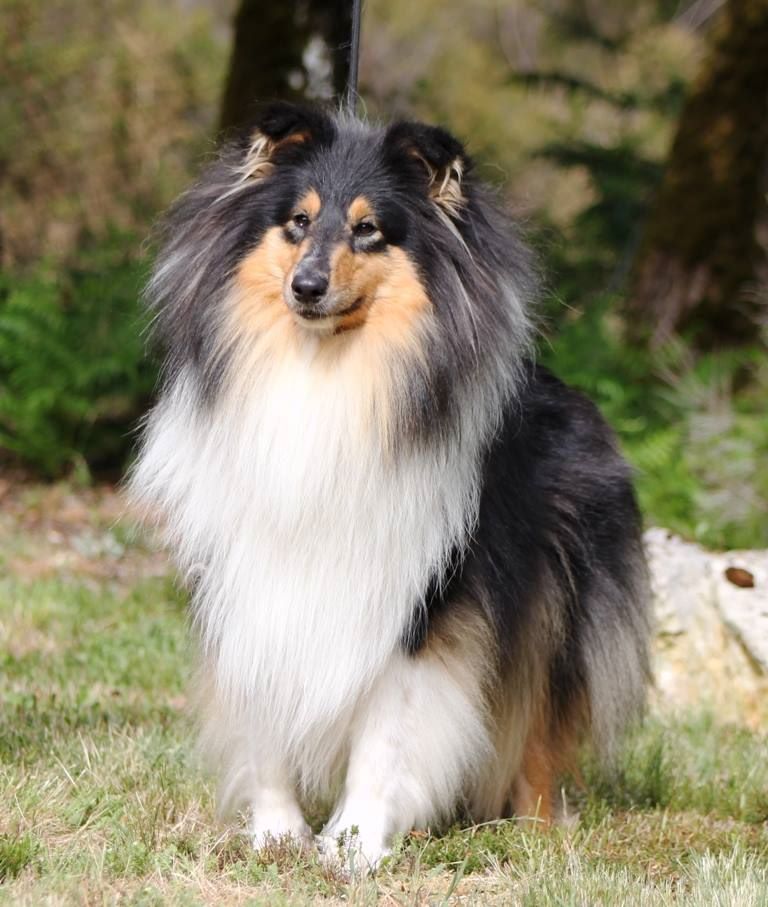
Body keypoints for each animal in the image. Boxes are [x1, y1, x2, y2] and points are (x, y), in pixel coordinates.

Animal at [129, 102, 651, 870]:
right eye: (298, 221)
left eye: (369, 229)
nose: (306, 288)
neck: (326, 376)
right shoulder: (251, 575)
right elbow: (264, 709)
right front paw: (277, 833)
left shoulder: (426, 594)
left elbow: (391, 731)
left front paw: (355, 845)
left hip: (557, 602)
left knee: (540, 722)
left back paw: (536, 832)